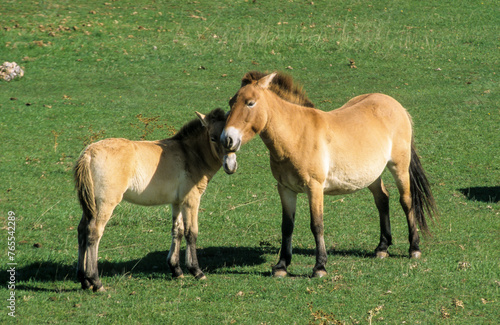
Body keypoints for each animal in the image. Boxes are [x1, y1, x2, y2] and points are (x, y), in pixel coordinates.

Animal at [74, 107, 232, 290]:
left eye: (230, 139)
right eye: (213, 137)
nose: (229, 166)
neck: (190, 154)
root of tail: (89, 153)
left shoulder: (177, 202)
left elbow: (177, 230)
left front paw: (176, 270)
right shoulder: (191, 200)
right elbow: (191, 232)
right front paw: (196, 271)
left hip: (90, 205)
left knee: (82, 231)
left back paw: (84, 280)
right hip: (105, 204)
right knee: (93, 232)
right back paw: (96, 281)